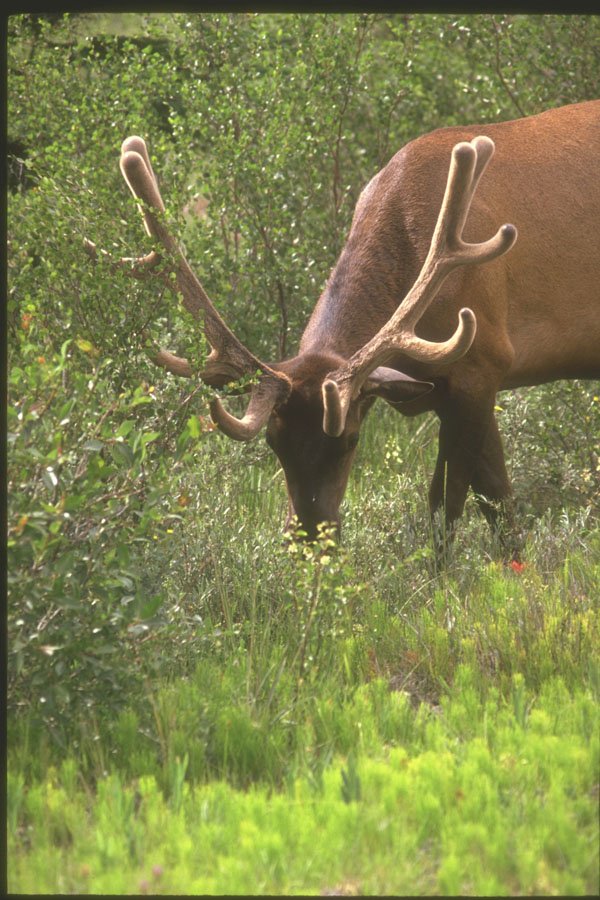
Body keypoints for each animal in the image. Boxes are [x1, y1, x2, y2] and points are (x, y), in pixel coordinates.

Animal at [86, 100, 600, 557]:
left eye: (350, 440)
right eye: (274, 442)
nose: (310, 539)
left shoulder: (483, 362)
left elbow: (472, 503)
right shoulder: (441, 387)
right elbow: (467, 499)